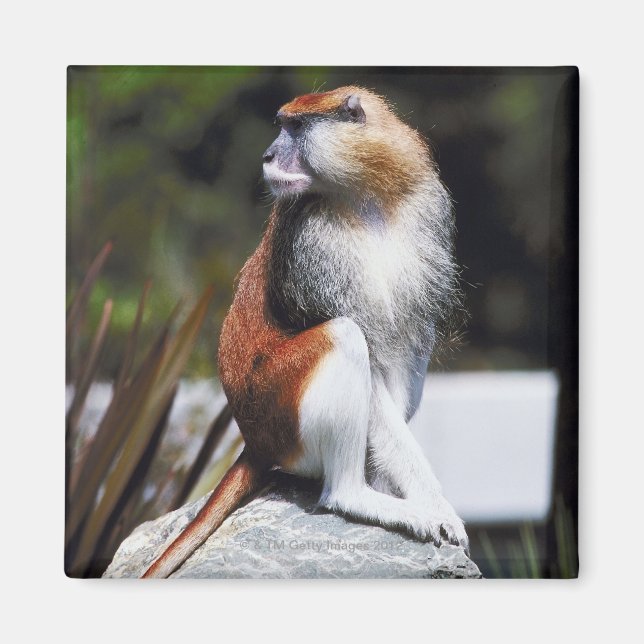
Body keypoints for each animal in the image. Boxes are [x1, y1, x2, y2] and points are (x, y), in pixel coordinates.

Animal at [142, 86, 468, 578]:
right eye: (282, 125)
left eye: (295, 127)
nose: (267, 155)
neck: (366, 193)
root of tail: (254, 442)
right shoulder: (313, 246)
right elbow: (368, 364)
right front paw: (436, 507)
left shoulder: (426, 210)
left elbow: (401, 348)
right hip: (281, 406)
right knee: (344, 337)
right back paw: (355, 495)